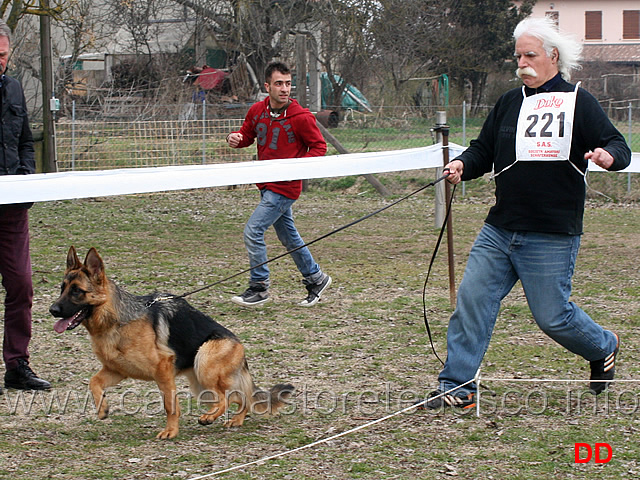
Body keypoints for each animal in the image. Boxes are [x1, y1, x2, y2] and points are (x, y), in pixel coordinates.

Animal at [50, 248, 296, 438]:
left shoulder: (163, 371)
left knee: (227, 397)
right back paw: (234, 418)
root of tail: (238, 343)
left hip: (204, 362)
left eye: (77, 291)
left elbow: (170, 405)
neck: (115, 320)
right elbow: (93, 382)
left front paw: (171, 431)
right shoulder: (116, 370)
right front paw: (102, 408)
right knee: (239, 396)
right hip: (202, 386)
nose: (52, 310)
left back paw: (210, 418)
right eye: (62, 288)